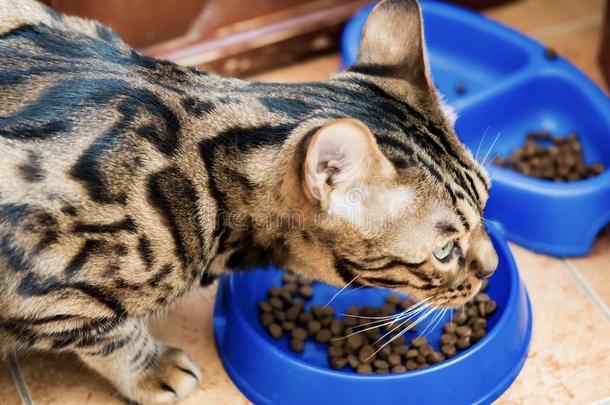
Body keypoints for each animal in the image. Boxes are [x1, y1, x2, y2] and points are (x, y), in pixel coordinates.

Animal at [0, 0, 494, 400]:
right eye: (444, 251)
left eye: (487, 202)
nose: (491, 268)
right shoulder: (52, 295)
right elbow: (114, 337)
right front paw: (154, 369)